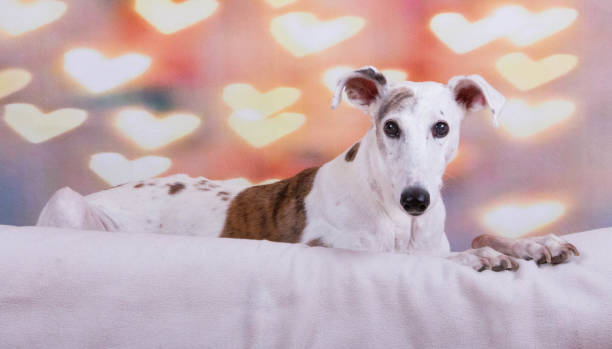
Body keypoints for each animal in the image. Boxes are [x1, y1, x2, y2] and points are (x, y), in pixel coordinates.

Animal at [35, 66, 580, 270]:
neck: (392, 214)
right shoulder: (336, 250)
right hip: (66, 203)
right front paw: (474, 259)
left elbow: (479, 234)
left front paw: (535, 244)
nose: (417, 200)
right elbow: (411, 259)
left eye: (442, 128)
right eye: (390, 127)